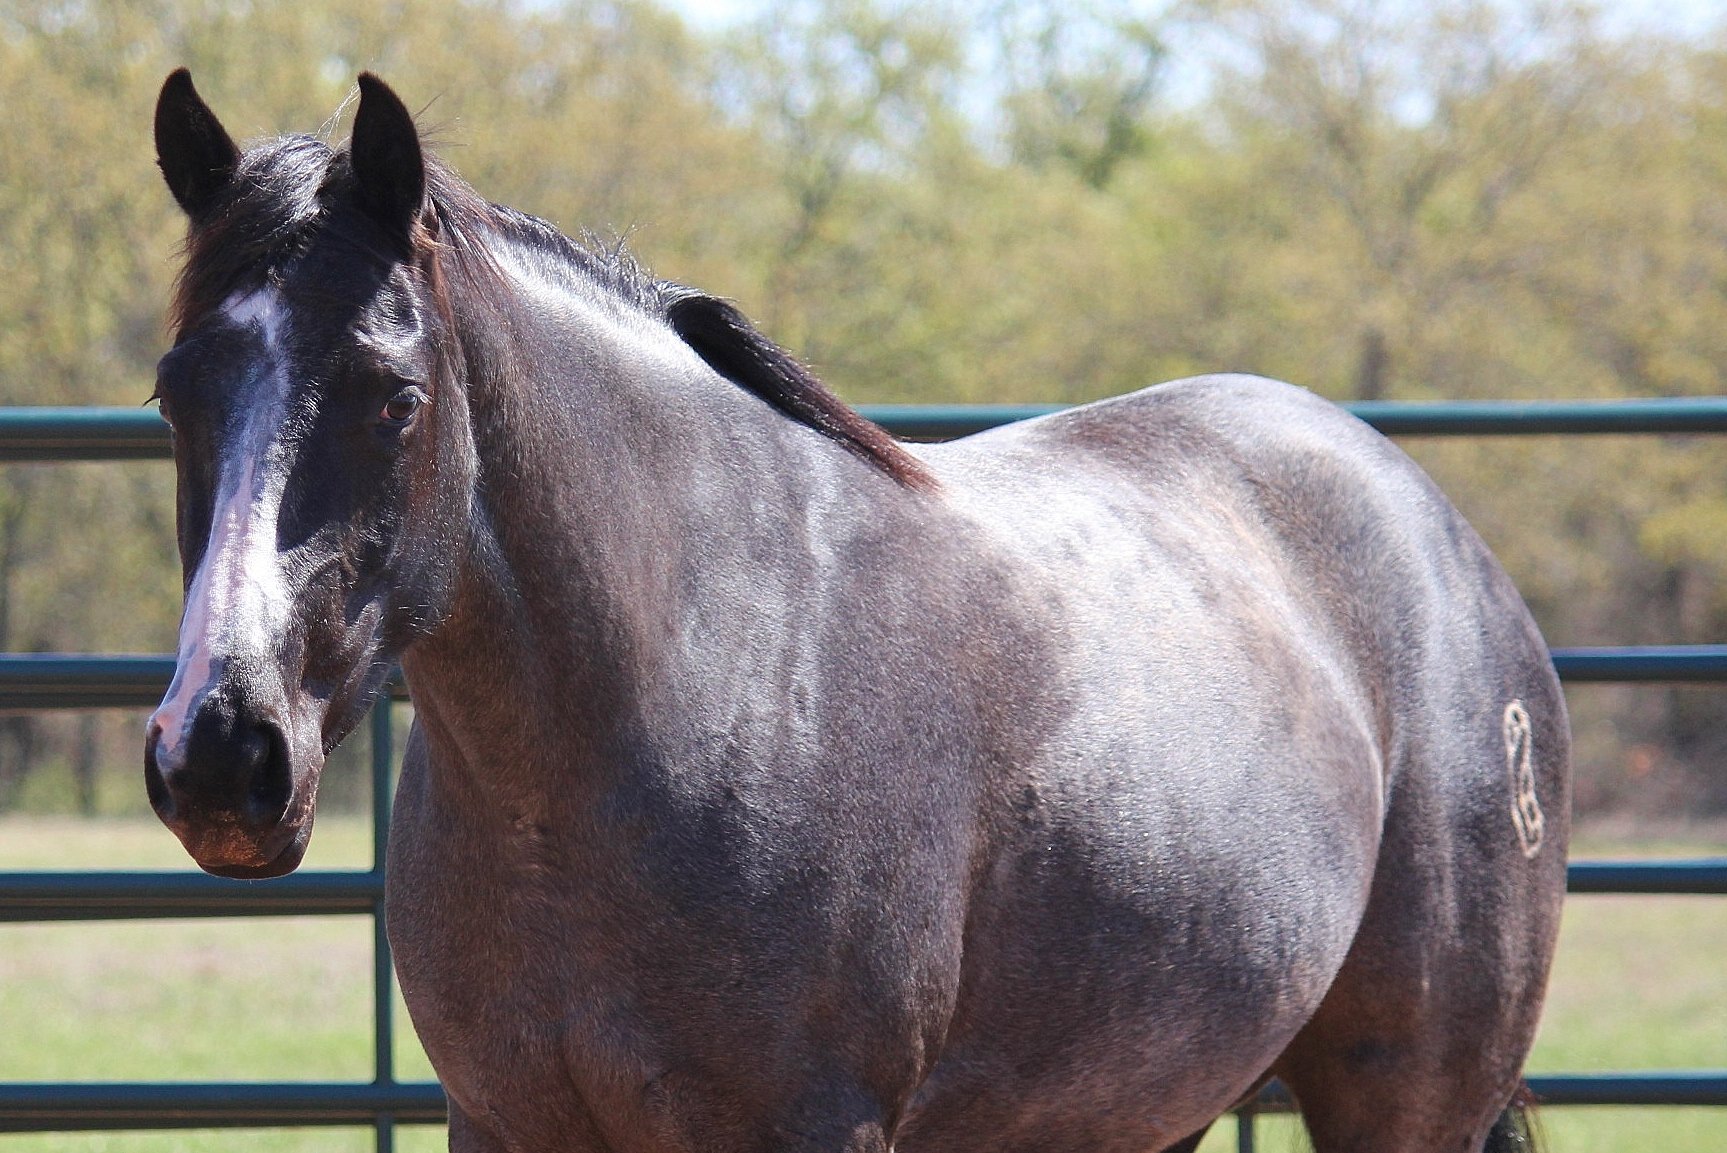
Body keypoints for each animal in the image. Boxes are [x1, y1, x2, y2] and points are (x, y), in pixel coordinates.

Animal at [144, 69, 1569, 1153]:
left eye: (393, 398)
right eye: (173, 392)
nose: (220, 750)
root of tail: (1449, 550)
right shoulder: (501, 1121)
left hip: (1404, 1104)